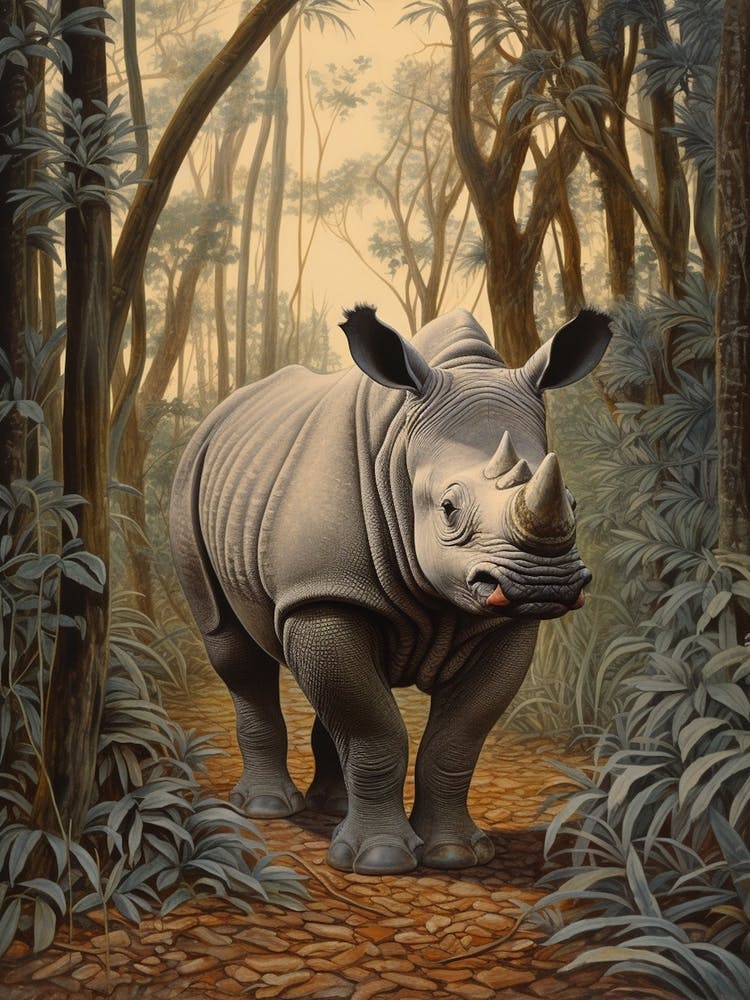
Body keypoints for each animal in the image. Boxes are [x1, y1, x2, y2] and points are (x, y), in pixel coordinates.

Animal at [170, 305, 611, 876]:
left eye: (574, 503)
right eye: (448, 509)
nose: (545, 583)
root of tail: (219, 416)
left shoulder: (503, 618)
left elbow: (456, 737)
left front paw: (455, 855)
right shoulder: (323, 591)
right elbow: (373, 729)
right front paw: (379, 860)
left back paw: (331, 806)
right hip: (191, 482)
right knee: (233, 649)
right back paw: (268, 809)